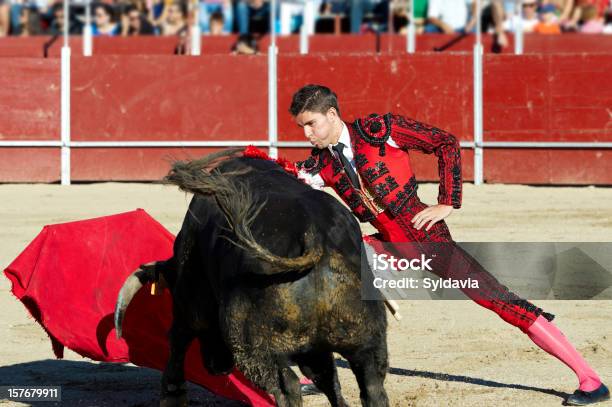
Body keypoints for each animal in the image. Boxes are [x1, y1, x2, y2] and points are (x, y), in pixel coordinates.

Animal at [113, 150, 390, 407]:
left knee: (286, 386)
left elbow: (179, 338)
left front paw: (173, 394)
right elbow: (328, 379)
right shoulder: (316, 349)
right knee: (369, 387)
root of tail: (316, 238)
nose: (217, 366)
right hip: (367, 343)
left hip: (250, 345)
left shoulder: (190, 297)